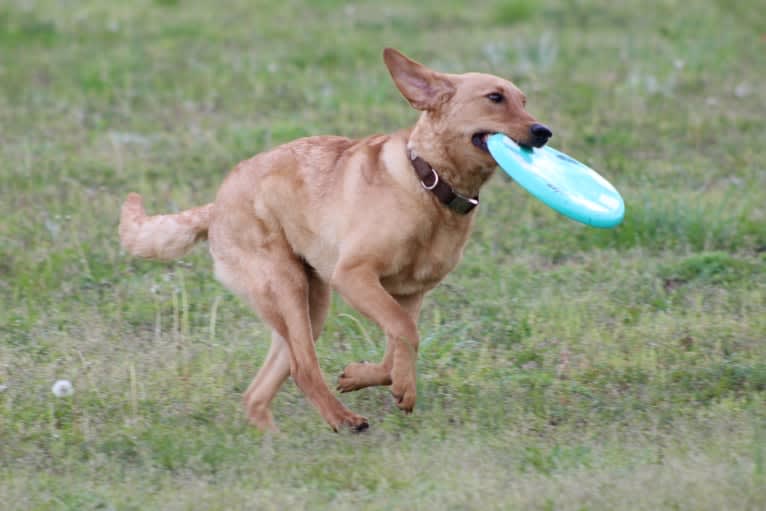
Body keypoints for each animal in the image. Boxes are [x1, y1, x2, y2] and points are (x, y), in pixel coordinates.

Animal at [118, 49, 552, 432]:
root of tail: (215, 207)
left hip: (312, 305)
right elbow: (404, 334)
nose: (543, 132)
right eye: (495, 98)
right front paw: (404, 388)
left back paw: (276, 443)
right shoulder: (354, 276)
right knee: (303, 368)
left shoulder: (409, 294)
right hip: (287, 287)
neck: (428, 183)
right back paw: (343, 420)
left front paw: (366, 377)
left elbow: (398, 344)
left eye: (524, 101)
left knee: (260, 392)